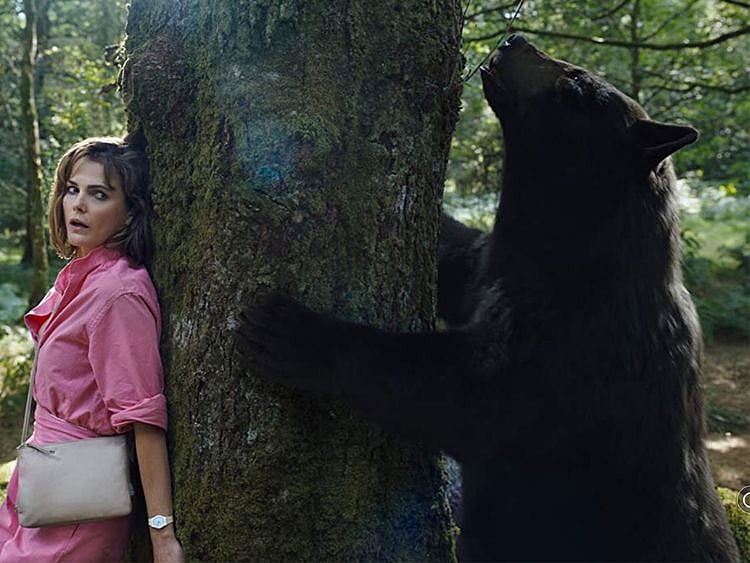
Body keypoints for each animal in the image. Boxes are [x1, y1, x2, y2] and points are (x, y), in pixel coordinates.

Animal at [236, 34, 740, 562]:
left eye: (575, 85)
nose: (516, 39)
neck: (569, 256)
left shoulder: (580, 352)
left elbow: (466, 398)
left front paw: (294, 333)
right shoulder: (490, 268)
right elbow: (456, 258)